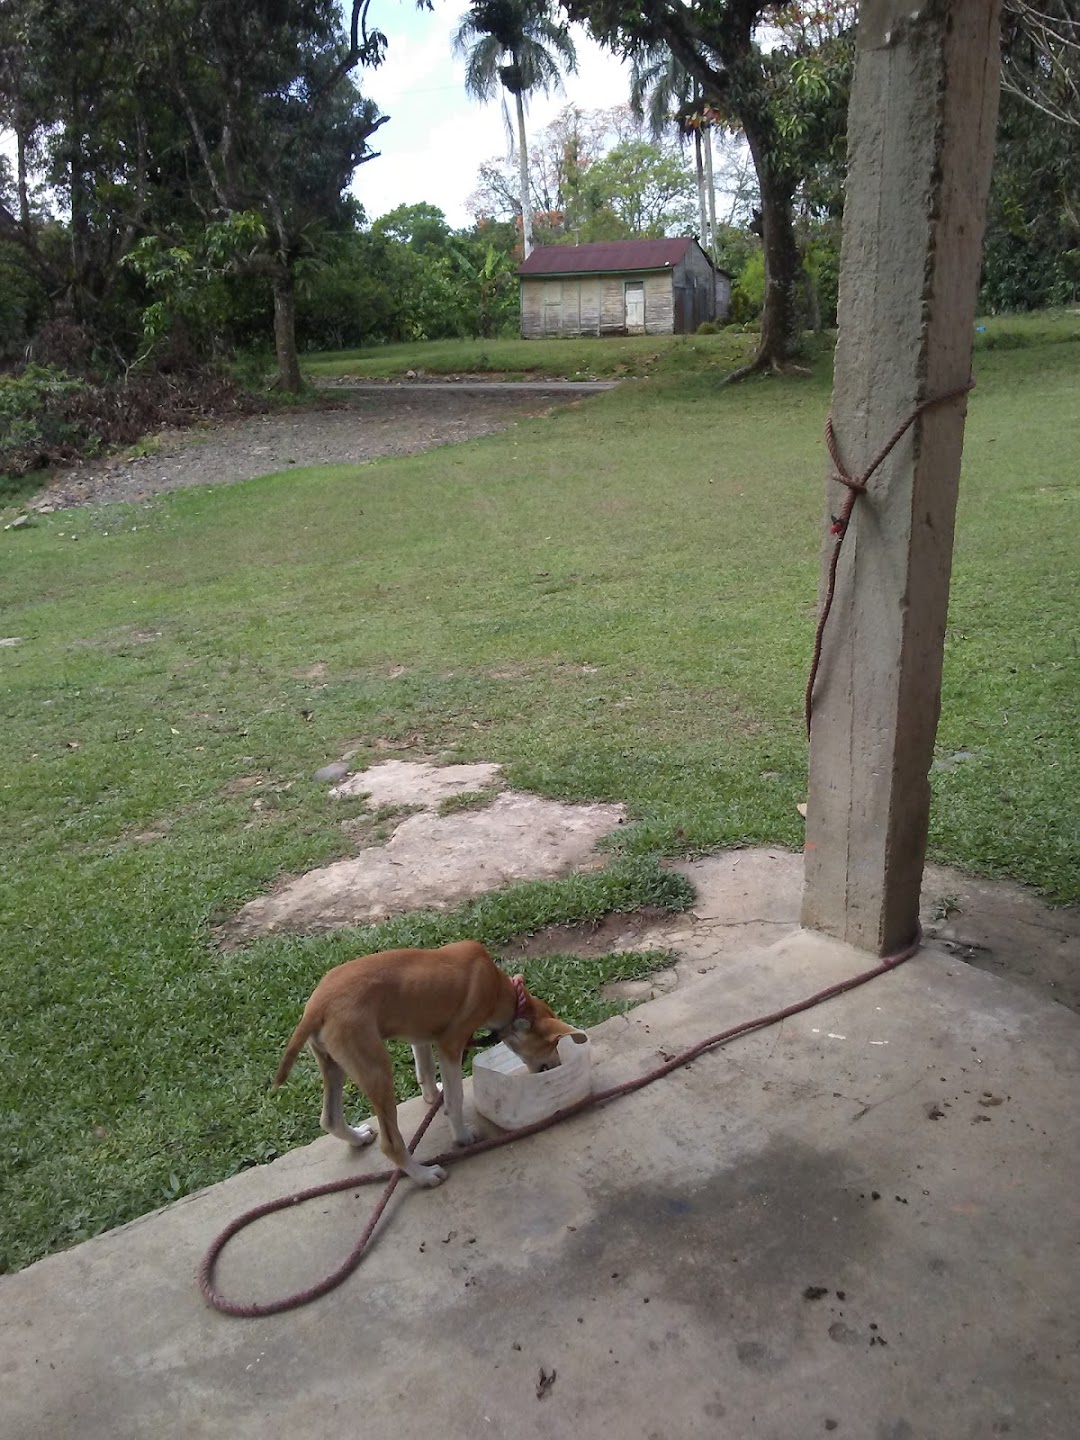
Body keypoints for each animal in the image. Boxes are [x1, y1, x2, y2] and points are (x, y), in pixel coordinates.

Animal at [275, 944, 587, 1180]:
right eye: (552, 1044)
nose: (557, 1065)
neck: (501, 991)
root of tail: (316, 1006)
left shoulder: (421, 1035)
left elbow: (424, 1071)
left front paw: (432, 1096)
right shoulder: (450, 1043)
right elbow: (455, 1097)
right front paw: (462, 1136)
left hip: (333, 1062)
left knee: (329, 1118)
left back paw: (358, 1137)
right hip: (375, 1068)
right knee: (391, 1144)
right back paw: (424, 1176)